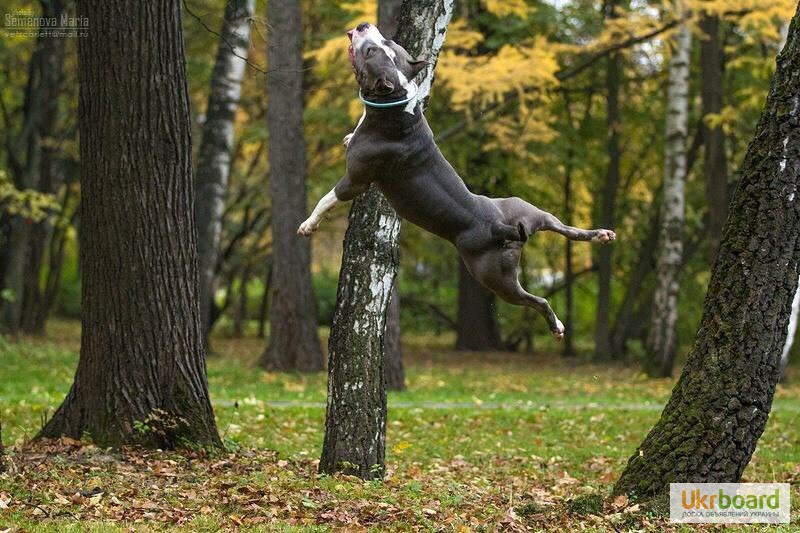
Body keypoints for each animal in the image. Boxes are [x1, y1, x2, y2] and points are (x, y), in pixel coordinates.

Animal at [296, 23, 616, 336]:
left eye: (371, 51)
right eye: (387, 41)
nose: (364, 26)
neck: (397, 105)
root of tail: (499, 227)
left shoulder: (355, 180)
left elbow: (327, 199)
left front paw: (308, 224)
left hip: (494, 277)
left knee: (536, 299)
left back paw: (556, 325)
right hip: (525, 210)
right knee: (563, 227)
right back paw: (600, 235)